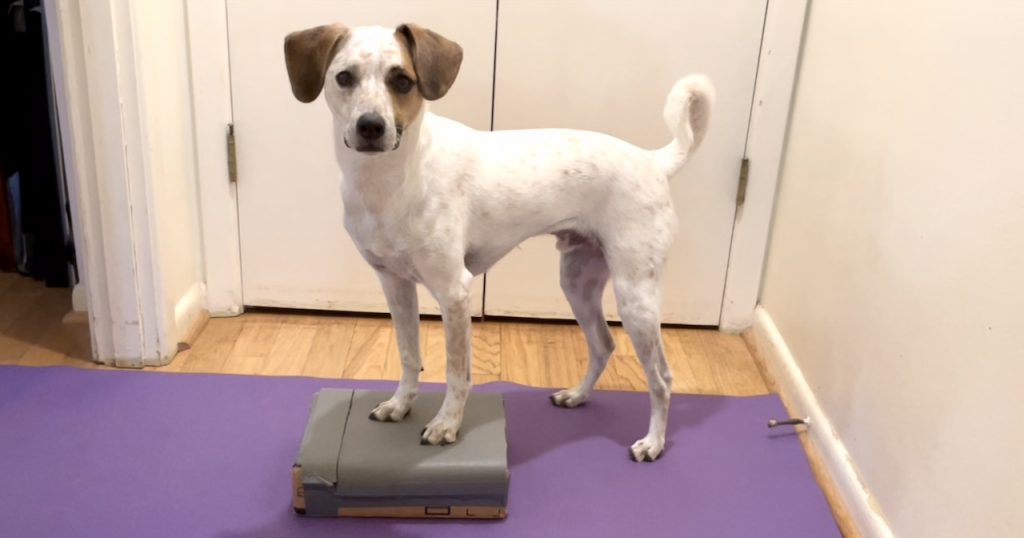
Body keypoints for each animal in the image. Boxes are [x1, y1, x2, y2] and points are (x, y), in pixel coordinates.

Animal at [282, 23, 712, 459]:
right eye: (343, 77)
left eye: (402, 81)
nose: (371, 126)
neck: (392, 180)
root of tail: (652, 160)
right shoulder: (394, 285)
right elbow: (408, 355)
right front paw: (401, 404)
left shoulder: (454, 291)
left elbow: (457, 371)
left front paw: (446, 425)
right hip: (578, 281)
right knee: (603, 344)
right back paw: (576, 395)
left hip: (636, 295)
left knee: (662, 378)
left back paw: (653, 442)